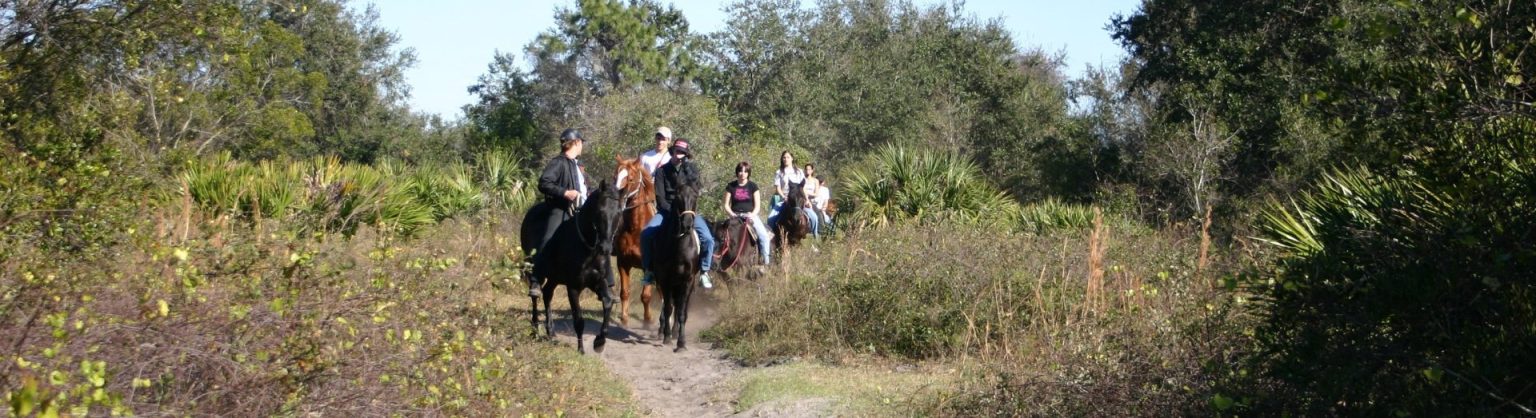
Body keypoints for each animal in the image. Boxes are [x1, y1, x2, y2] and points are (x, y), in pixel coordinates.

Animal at [519, 179, 620, 353]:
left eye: (618, 214)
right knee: (535, 295)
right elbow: (578, 320)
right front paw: (581, 350)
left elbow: (607, 303)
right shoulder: (573, 287)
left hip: (554, 278)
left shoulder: (598, 282)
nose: (606, 248)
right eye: (601, 212)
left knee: (547, 294)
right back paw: (535, 330)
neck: (588, 249)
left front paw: (599, 342)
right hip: (534, 267)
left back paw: (551, 332)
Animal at [611, 155, 654, 325]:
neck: (636, 230)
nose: (616, 198)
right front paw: (624, 318)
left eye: (630, 178)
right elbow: (624, 292)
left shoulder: (649, 267)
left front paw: (648, 320)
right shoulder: (623, 263)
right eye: (615, 177)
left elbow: (646, 295)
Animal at [660, 168, 706, 350]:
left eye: (695, 196)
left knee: (680, 305)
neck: (680, 247)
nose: (687, 224)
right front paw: (666, 337)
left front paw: (681, 342)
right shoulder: (665, 279)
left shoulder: (687, 280)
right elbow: (668, 308)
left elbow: (681, 312)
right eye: (677, 197)